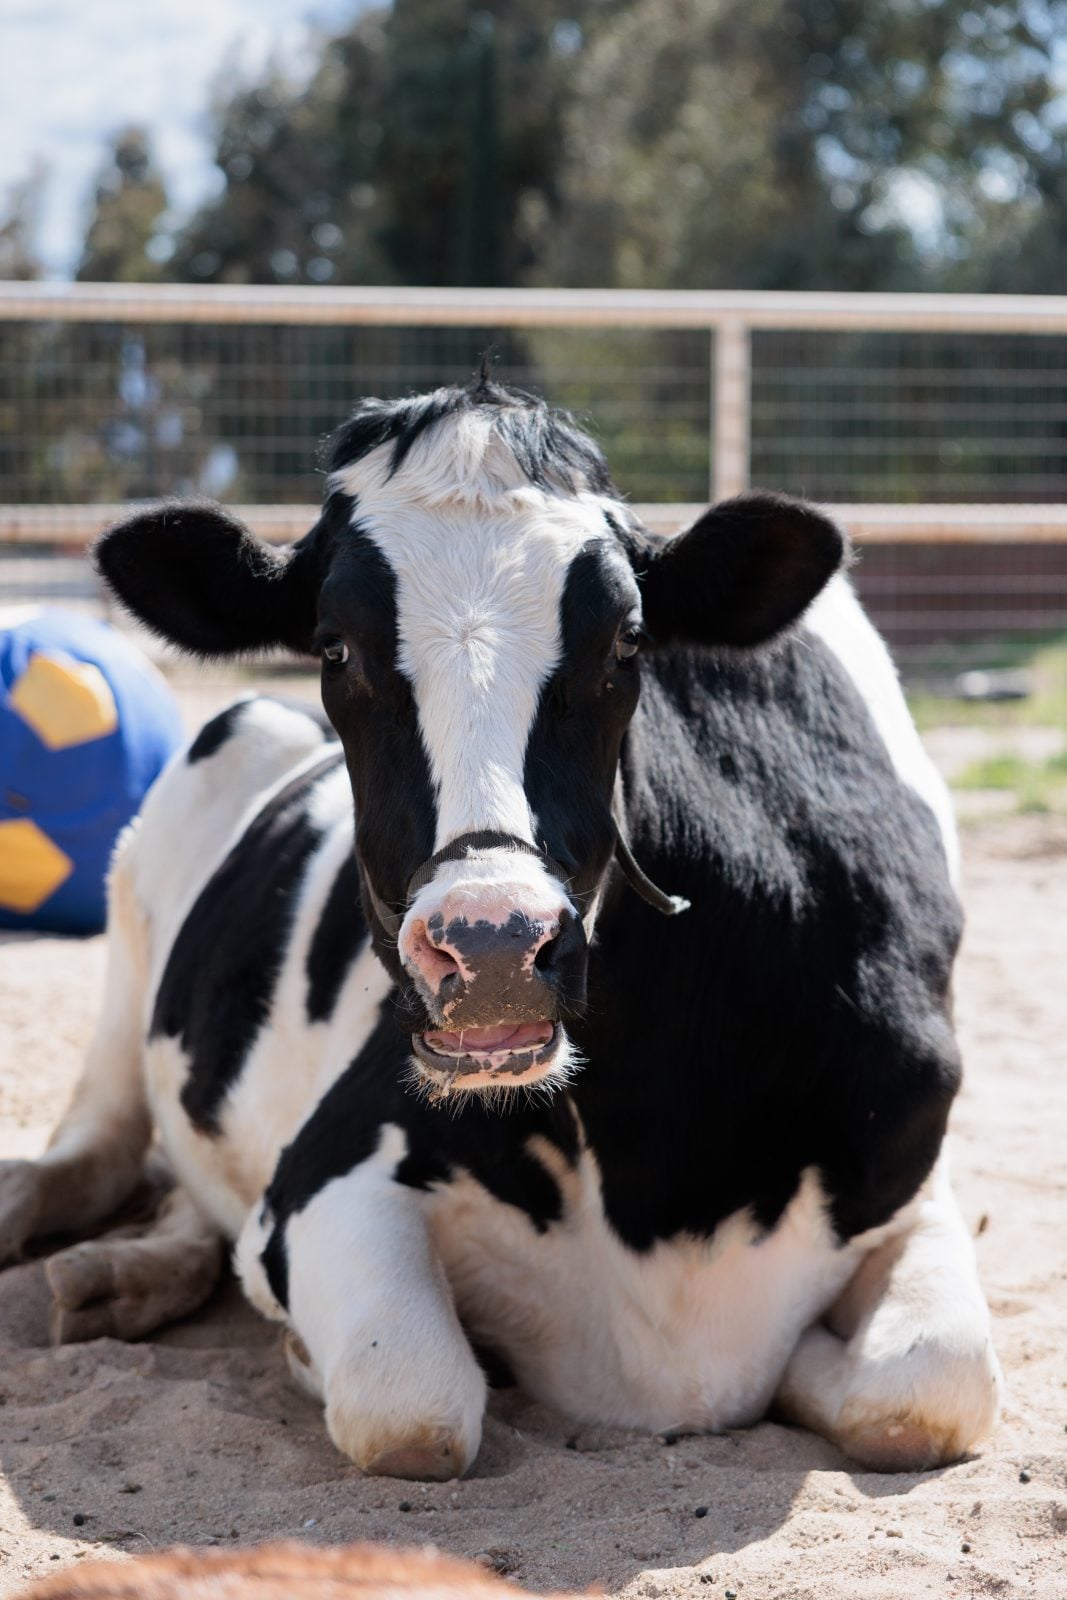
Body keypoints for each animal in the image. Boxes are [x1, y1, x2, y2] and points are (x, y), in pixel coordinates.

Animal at [0, 377, 1001, 1482]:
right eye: (334, 647)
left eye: (627, 640)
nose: (489, 948)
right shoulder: (329, 1171)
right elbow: (413, 1402)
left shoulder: (910, 1169)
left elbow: (928, 1385)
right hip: (132, 929)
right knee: (92, 1151)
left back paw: (124, 1275)